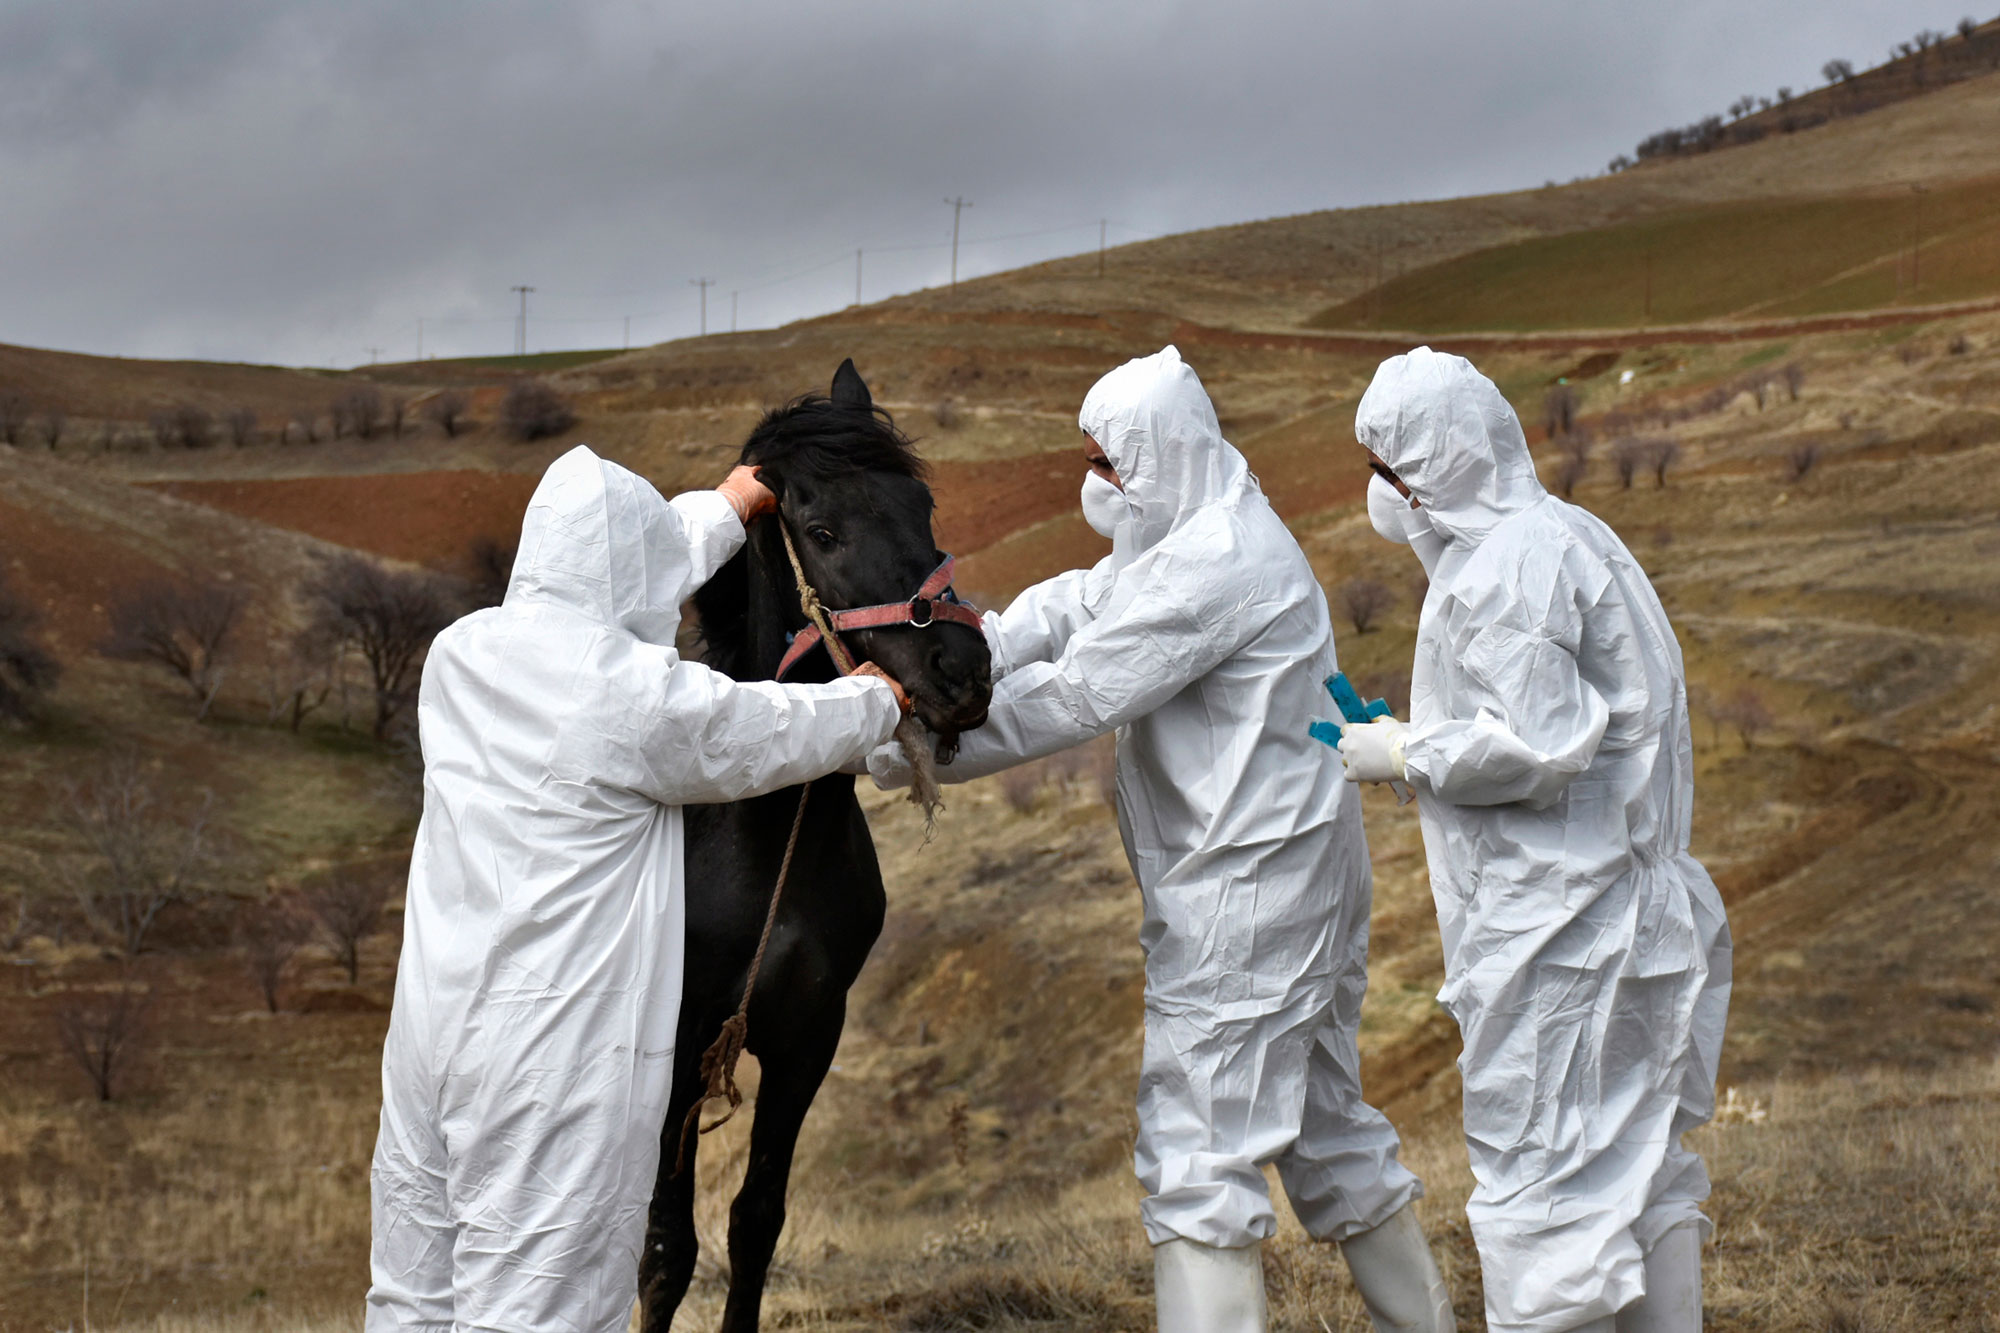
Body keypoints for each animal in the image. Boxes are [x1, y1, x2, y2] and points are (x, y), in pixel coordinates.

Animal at [640, 358, 992, 1320]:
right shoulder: (678, 1042)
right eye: (823, 531)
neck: (758, 836)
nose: (964, 672)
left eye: (924, 509)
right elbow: (665, 1246)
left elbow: (755, 1223)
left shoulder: (808, 1038)